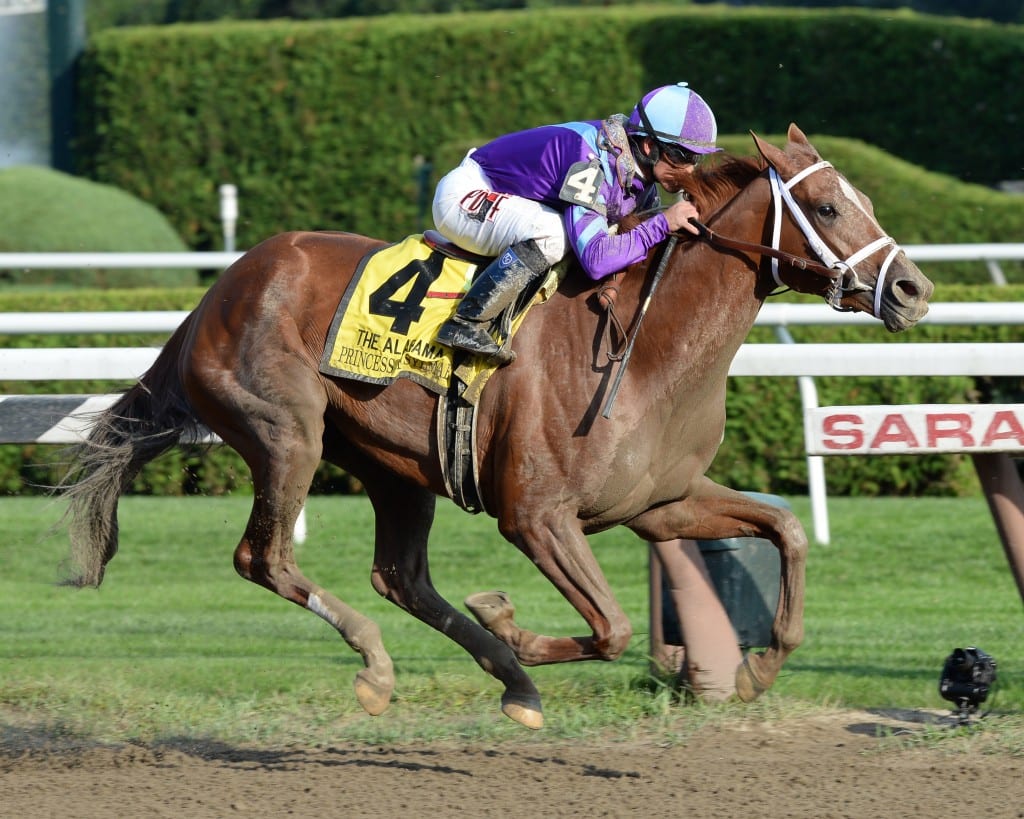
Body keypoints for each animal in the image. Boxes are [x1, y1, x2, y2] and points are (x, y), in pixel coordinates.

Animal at [59, 126, 933, 728]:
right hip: (286, 434)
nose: (914, 290)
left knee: (400, 576)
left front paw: (759, 668)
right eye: (827, 206)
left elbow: (785, 529)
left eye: (865, 202)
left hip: (391, 464)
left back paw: (507, 679)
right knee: (265, 557)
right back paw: (383, 663)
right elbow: (612, 627)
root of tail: (216, 294)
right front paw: (508, 618)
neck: (647, 347)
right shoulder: (537, 515)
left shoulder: (661, 504)